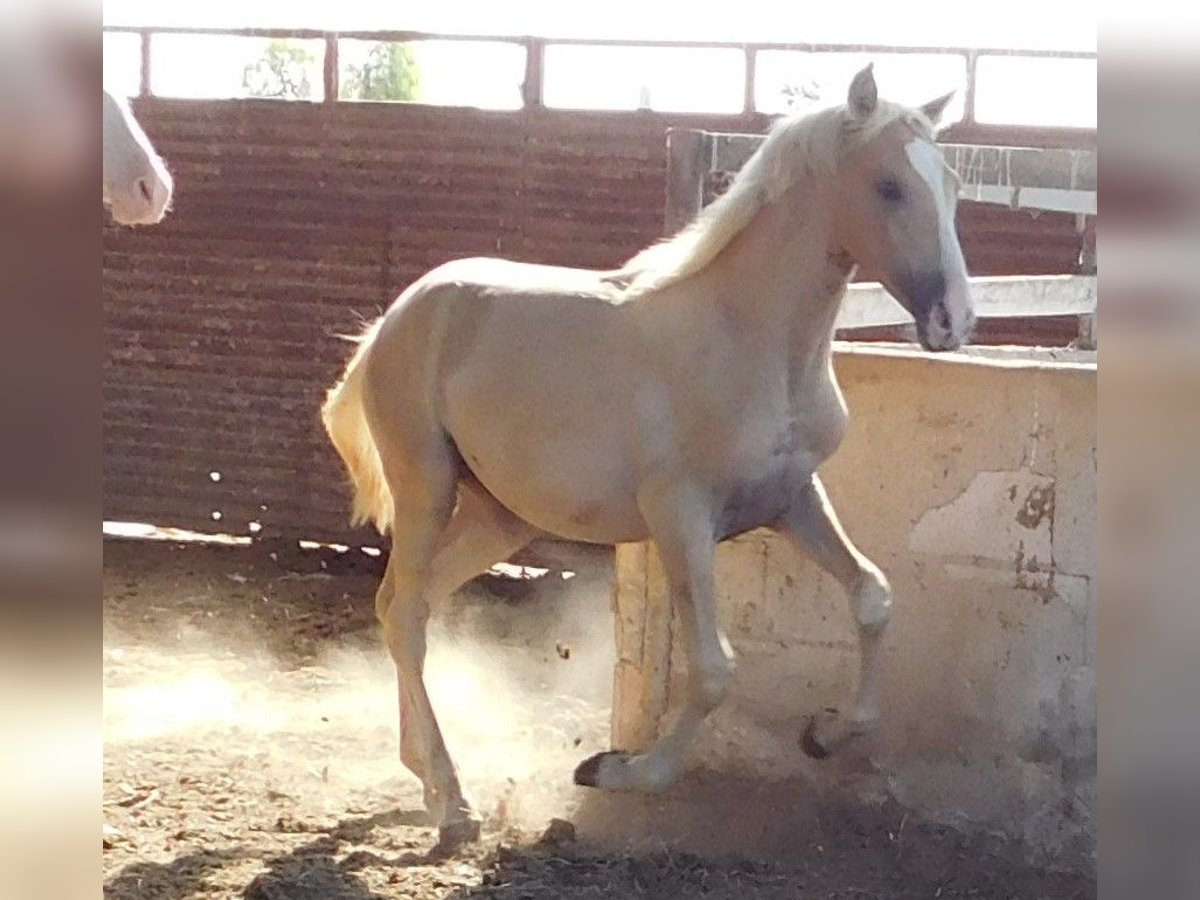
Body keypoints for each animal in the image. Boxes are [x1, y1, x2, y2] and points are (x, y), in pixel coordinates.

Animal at [326, 66, 974, 849]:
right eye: (888, 186)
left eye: (952, 182)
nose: (954, 320)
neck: (747, 340)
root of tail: (395, 318)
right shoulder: (680, 516)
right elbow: (715, 669)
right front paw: (612, 770)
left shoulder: (791, 499)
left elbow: (873, 596)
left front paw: (822, 735)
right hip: (426, 488)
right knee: (408, 618)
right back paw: (454, 805)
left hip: (497, 517)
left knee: (404, 606)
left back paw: (424, 779)